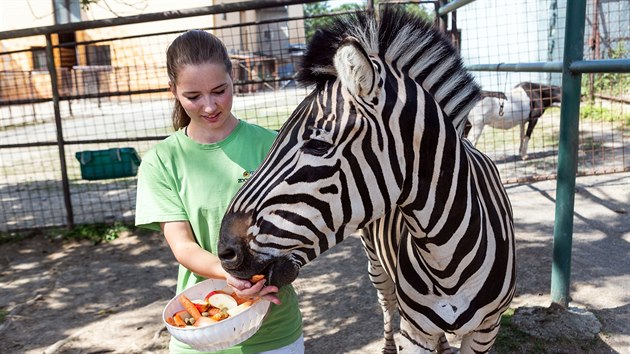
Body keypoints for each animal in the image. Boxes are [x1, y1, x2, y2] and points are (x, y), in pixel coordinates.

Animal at [220, 8, 516, 354]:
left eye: (317, 145)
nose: (224, 250)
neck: (445, 258)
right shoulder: (415, 330)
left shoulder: (487, 329)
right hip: (376, 265)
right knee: (387, 305)